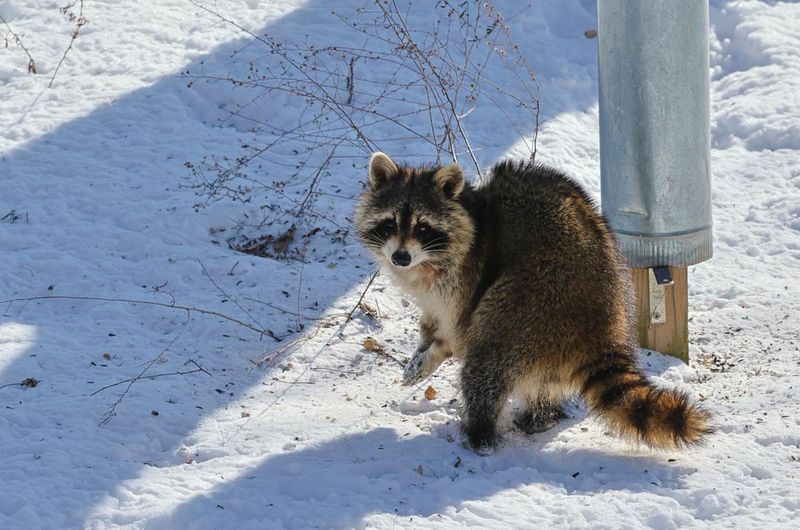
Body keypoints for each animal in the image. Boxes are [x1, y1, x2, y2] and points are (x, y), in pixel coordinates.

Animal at [355, 152, 711, 452]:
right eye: (390, 223)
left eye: (423, 227)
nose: (400, 257)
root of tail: (601, 327)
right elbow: (433, 318)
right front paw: (425, 348)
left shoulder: (467, 273)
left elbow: (459, 329)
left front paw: (439, 350)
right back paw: (540, 416)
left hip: (532, 302)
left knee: (486, 358)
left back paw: (479, 432)